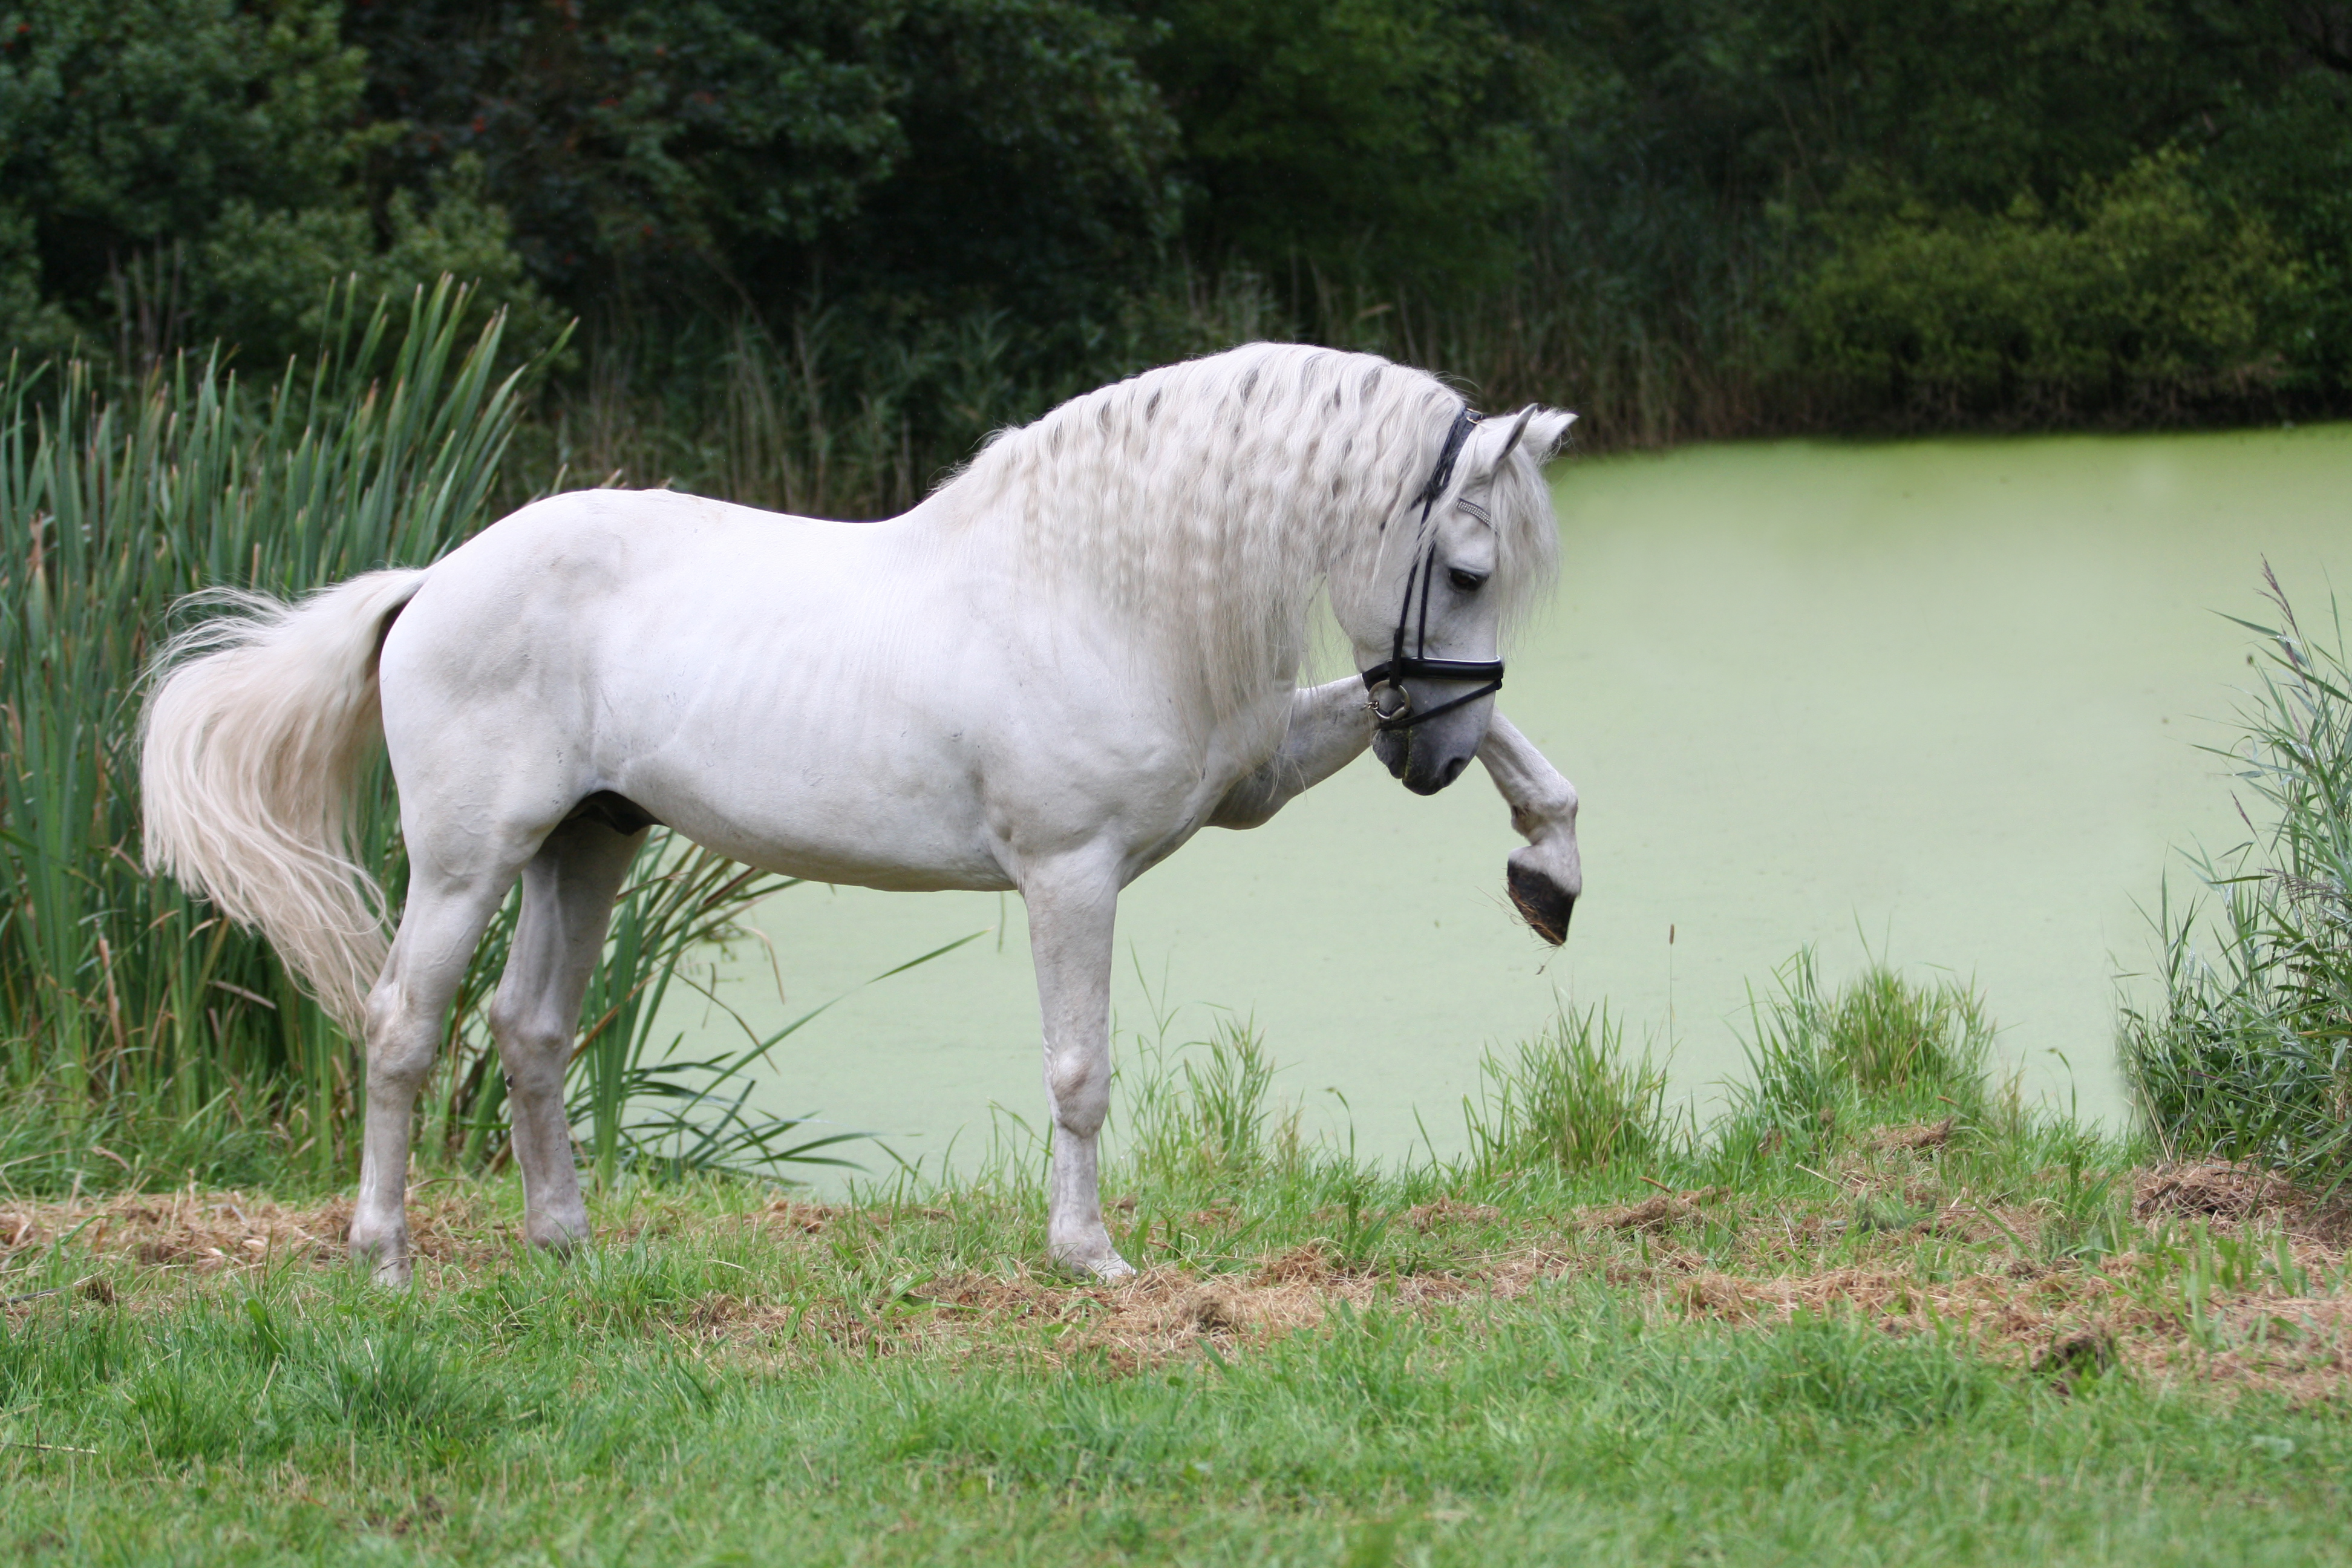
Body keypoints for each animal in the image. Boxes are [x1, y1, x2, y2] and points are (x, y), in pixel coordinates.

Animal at [142, 343, 1580, 1288]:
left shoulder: (1253, 782)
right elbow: (1079, 1071)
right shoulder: (1071, 873)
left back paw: (566, 1245)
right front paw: (1089, 1257)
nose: (1428, 755)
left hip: (587, 842)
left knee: (530, 1028)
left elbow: (1532, 759)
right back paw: (383, 1258)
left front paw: (1549, 867)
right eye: (1465, 569)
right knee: (403, 1026)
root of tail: (434, 577)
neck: (1087, 588)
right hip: (466, 861)